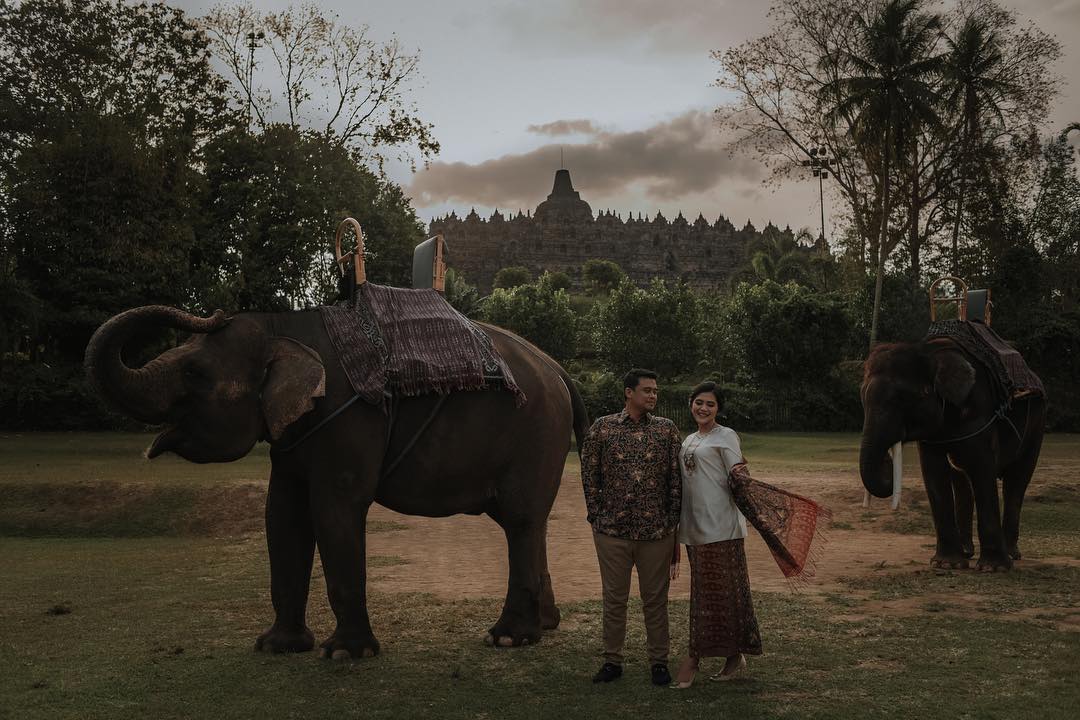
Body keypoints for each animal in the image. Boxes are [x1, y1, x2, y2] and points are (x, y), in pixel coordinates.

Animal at [85, 304, 587, 660]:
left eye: (195, 372)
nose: (215, 311)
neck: (282, 325)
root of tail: (560, 371)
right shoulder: (292, 437)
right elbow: (281, 517)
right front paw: (276, 646)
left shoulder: (349, 420)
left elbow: (334, 510)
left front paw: (344, 654)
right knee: (530, 521)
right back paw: (543, 626)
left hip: (535, 432)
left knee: (520, 520)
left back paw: (507, 639)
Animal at [855, 338, 1041, 574]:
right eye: (862, 398)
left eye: (903, 398)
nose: (886, 462)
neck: (931, 352)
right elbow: (934, 472)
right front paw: (947, 564)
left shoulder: (979, 411)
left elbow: (982, 468)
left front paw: (993, 568)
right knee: (962, 480)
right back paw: (967, 552)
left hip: (1037, 426)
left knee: (1017, 481)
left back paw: (1011, 554)